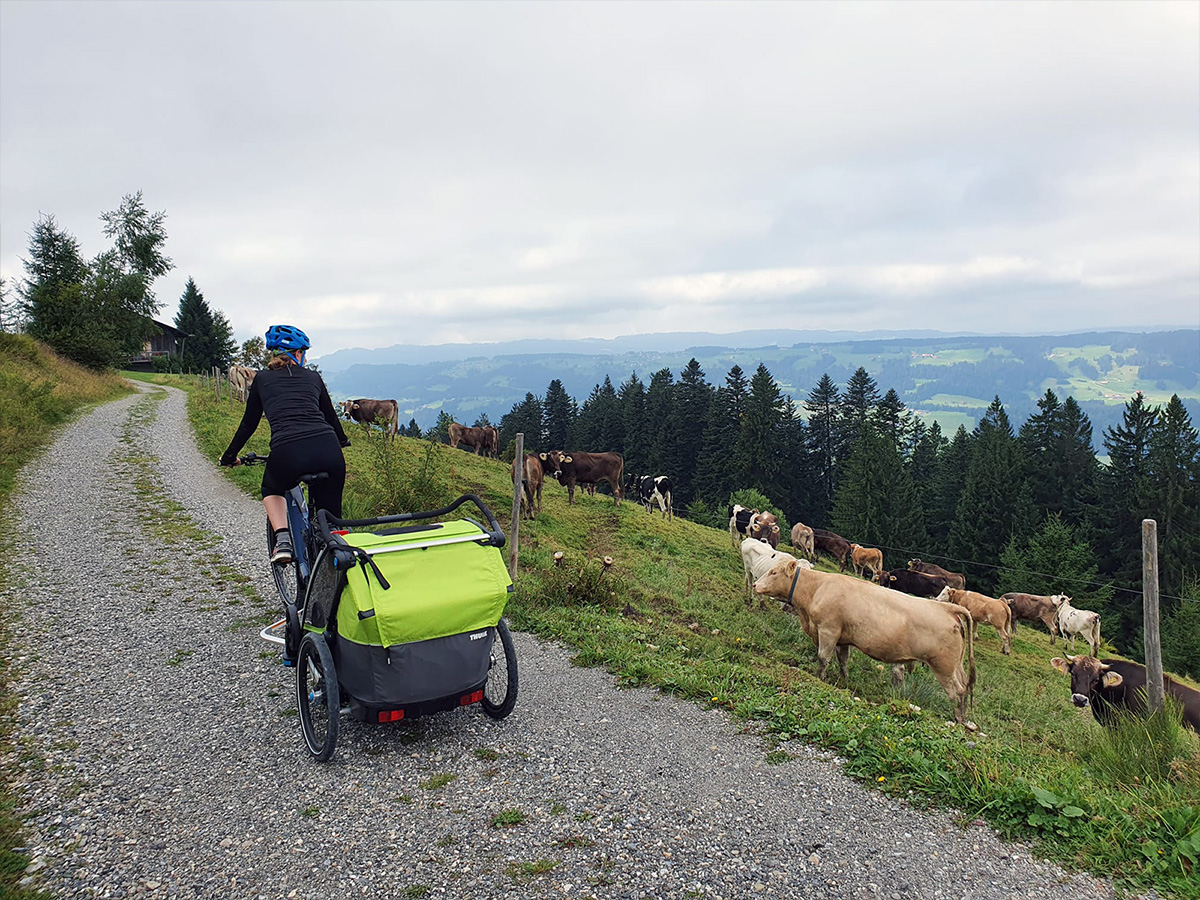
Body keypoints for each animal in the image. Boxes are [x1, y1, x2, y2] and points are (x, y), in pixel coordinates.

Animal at [758, 564, 974, 724]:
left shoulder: (828, 630)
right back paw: (963, 719)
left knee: (957, 692)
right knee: (964, 686)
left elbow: (823, 658)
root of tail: (947, 608)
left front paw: (820, 678)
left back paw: (956, 719)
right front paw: (844, 680)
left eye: (773, 572)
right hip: (956, 666)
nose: (756, 584)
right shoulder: (843, 638)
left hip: (943, 666)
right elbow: (843, 661)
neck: (817, 588)